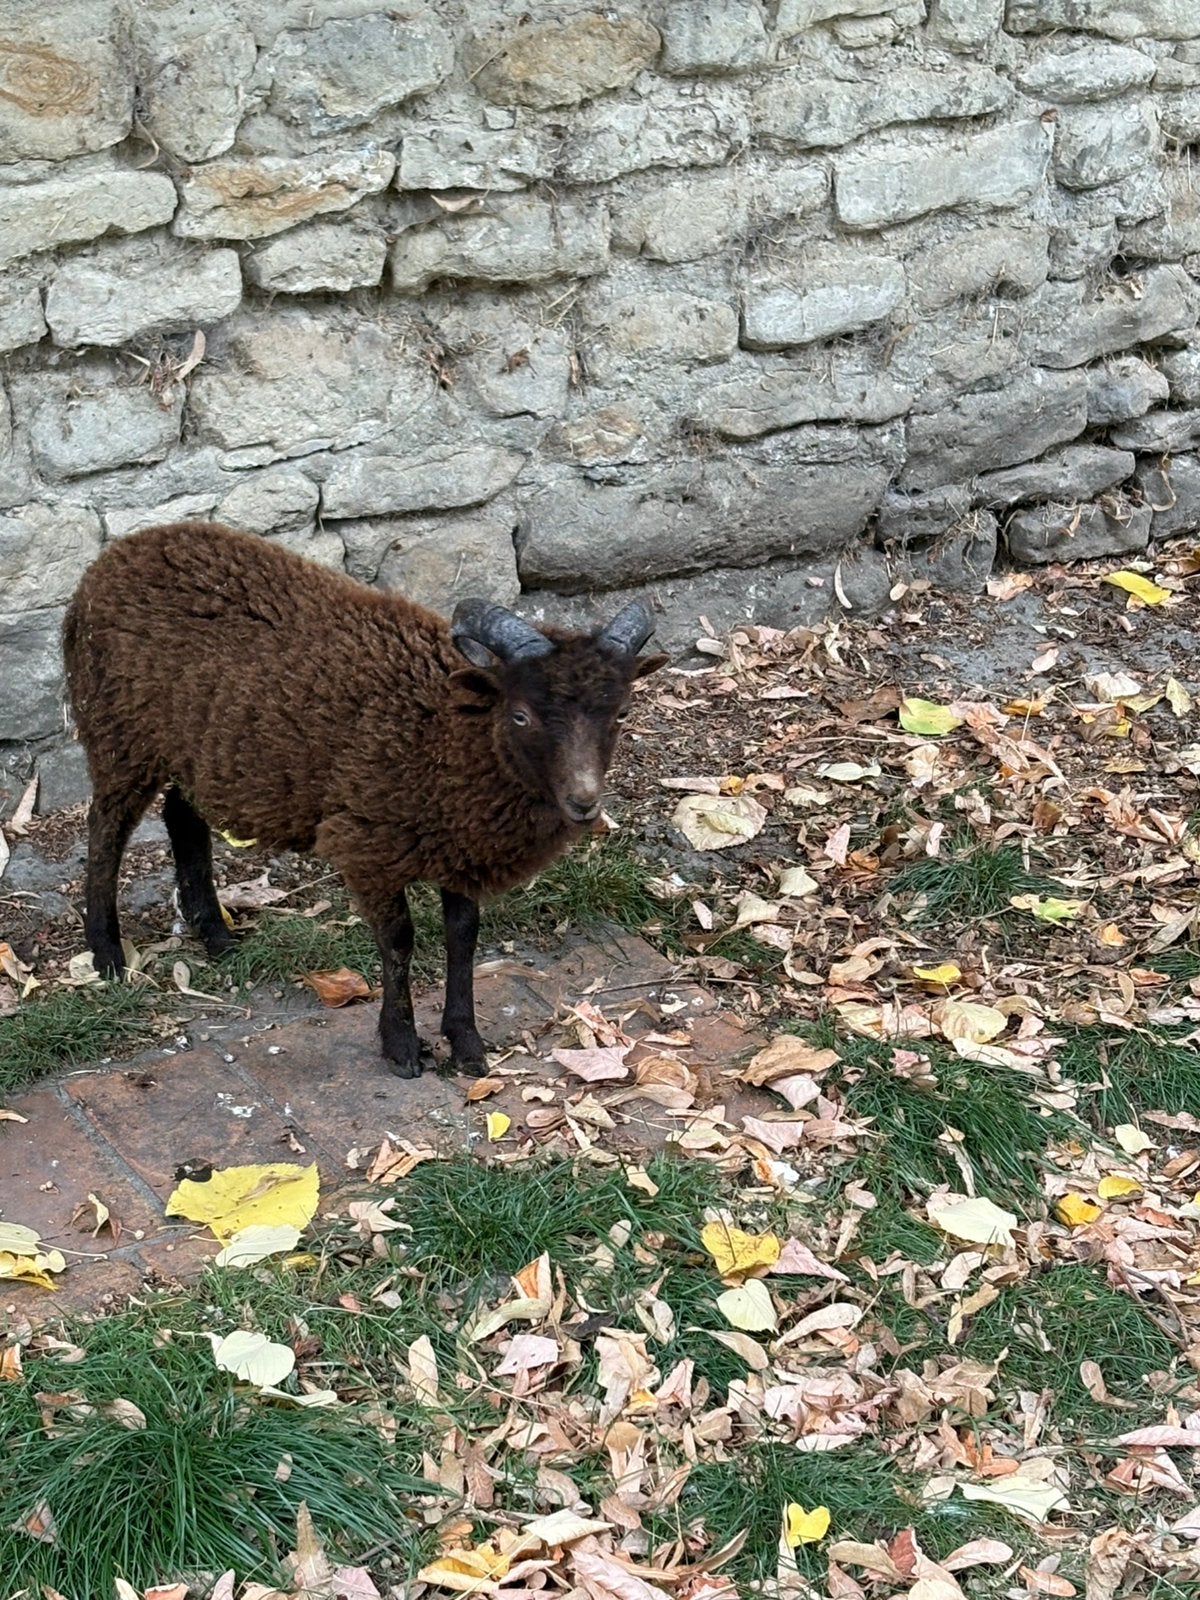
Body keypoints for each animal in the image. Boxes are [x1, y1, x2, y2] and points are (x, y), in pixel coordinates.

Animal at [62, 520, 666, 1077]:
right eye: (521, 715)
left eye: (622, 713)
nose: (584, 802)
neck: (447, 736)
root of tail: (122, 552)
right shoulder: (370, 843)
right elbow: (399, 942)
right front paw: (401, 1045)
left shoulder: (461, 844)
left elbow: (463, 936)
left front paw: (466, 1043)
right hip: (119, 728)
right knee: (107, 829)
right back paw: (107, 952)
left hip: (203, 748)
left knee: (182, 817)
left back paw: (215, 934)